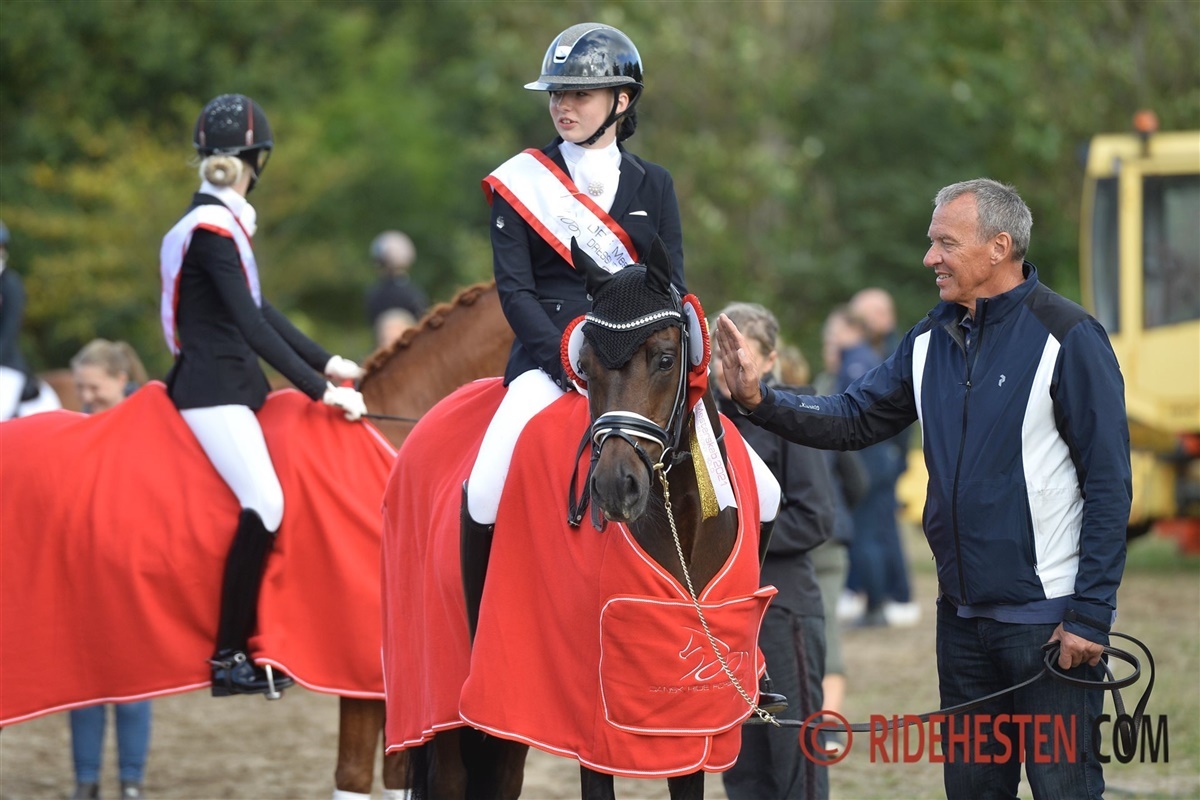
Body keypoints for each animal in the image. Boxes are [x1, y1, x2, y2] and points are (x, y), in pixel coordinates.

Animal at [383, 240, 775, 799]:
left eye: (665, 359)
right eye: (584, 365)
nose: (615, 486)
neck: (679, 522)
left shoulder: (693, 720)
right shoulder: (591, 722)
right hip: (442, 701)